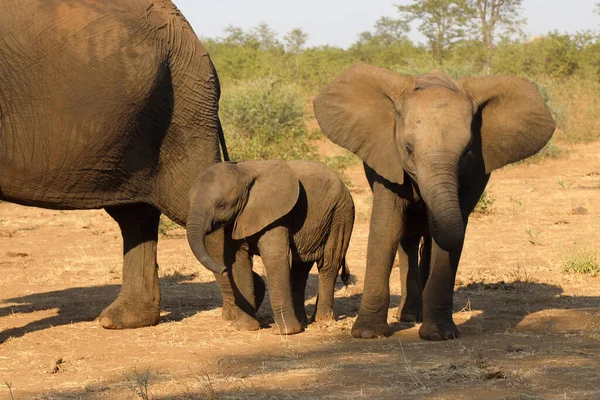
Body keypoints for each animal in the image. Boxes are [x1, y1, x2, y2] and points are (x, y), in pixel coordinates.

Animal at [188, 159, 354, 334]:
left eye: (221, 205)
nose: (222, 270)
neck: (243, 172)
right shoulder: (238, 218)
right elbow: (238, 261)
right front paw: (244, 328)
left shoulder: (276, 215)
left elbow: (274, 258)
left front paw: (285, 332)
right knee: (300, 268)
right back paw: (302, 322)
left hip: (340, 213)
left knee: (329, 263)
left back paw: (321, 320)